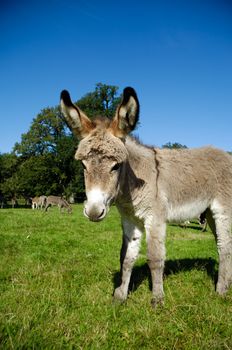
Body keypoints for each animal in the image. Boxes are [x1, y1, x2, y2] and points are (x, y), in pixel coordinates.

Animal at [60, 86, 232, 308]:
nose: (94, 212)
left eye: (116, 166)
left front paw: (158, 299)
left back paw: (220, 290)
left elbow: (155, 258)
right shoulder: (129, 221)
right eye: (83, 165)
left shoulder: (155, 219)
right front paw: (120, 296)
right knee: (222, 244)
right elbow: (126, 258)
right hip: (208, 212)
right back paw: (227, 283)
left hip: (223, 210)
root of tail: (224, 154)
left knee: (224, 246)